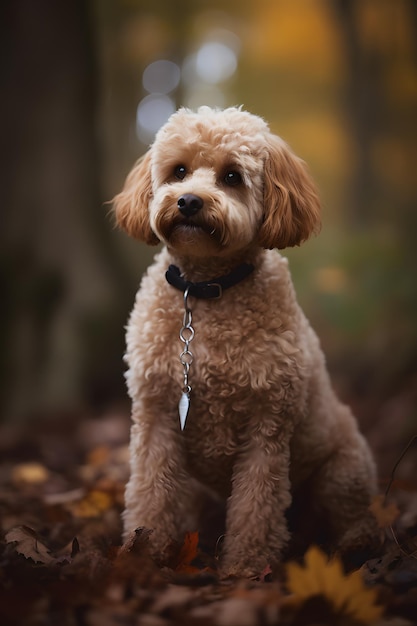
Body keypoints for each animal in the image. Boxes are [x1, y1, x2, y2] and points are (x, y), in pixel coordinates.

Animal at [113, 106, 376, 576]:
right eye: (179, 171)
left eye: (232, 176)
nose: (188, 200)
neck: (206, 291)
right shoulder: (155, 418)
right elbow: (150, 493)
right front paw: (145, 554)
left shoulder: (267, 426)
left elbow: (257, 506)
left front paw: (246, 570)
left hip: (343, 471)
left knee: (354, 513)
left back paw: (356, 544)